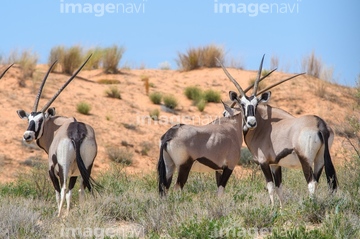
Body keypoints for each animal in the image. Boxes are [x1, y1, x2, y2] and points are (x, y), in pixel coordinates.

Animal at [16, 56, 98, 217]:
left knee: (64, 187)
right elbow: (71, 192)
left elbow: (58, 192)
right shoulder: (75, 172)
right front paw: (68, 212)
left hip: (63, 166)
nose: (27, 136)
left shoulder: (51, 169)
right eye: (29, 119)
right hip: (86, 166)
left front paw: (61, 213)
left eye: (40, 120)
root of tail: (76, 132)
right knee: (82, 187)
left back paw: (59, 215)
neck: (58, 126)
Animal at [219, 55, 338, 206]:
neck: (263, 126)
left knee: (311, 183)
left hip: (305, 159)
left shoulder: (263, 162)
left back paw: (310, 206)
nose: (251, 123)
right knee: (320, 182)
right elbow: (279, 187)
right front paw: (282, 209)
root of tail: (320, 124)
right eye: (242, 104)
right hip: (320, 160)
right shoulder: (275, 164)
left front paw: (272, 208)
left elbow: (270, 186)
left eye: (255, 104)